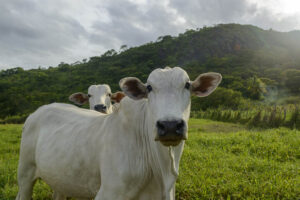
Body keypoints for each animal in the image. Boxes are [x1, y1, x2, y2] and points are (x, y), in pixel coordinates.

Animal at [17, 66, 223, 199]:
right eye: (149, 88)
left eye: (187, 85)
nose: (170, 125)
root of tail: (38, 111)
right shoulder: (108, 193)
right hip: (25, 173)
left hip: (60, 179)